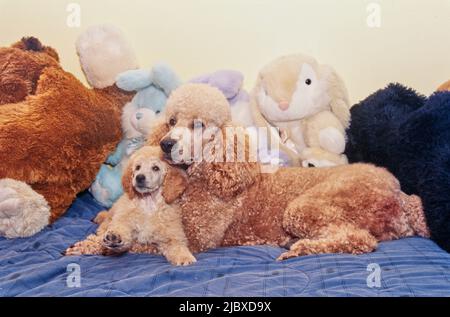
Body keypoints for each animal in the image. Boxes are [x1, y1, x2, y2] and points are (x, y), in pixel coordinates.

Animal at [65, 147, 195, 266]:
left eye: (155, 168)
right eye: (137, 167)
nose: (139, 177)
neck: (148, 204)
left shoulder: (171, 234)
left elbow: (177, 245)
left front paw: (184, 257)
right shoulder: (124, 220)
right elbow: (120, 229)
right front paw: (114, 237)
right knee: (102, 230)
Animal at [155, 84, 428, 260]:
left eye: (198, 125)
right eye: (171, 121)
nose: (166, 144)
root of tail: (397, 191)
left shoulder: (200, 237)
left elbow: (160, 243)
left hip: (304, 208)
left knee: (360, 239)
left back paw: (299, 248)